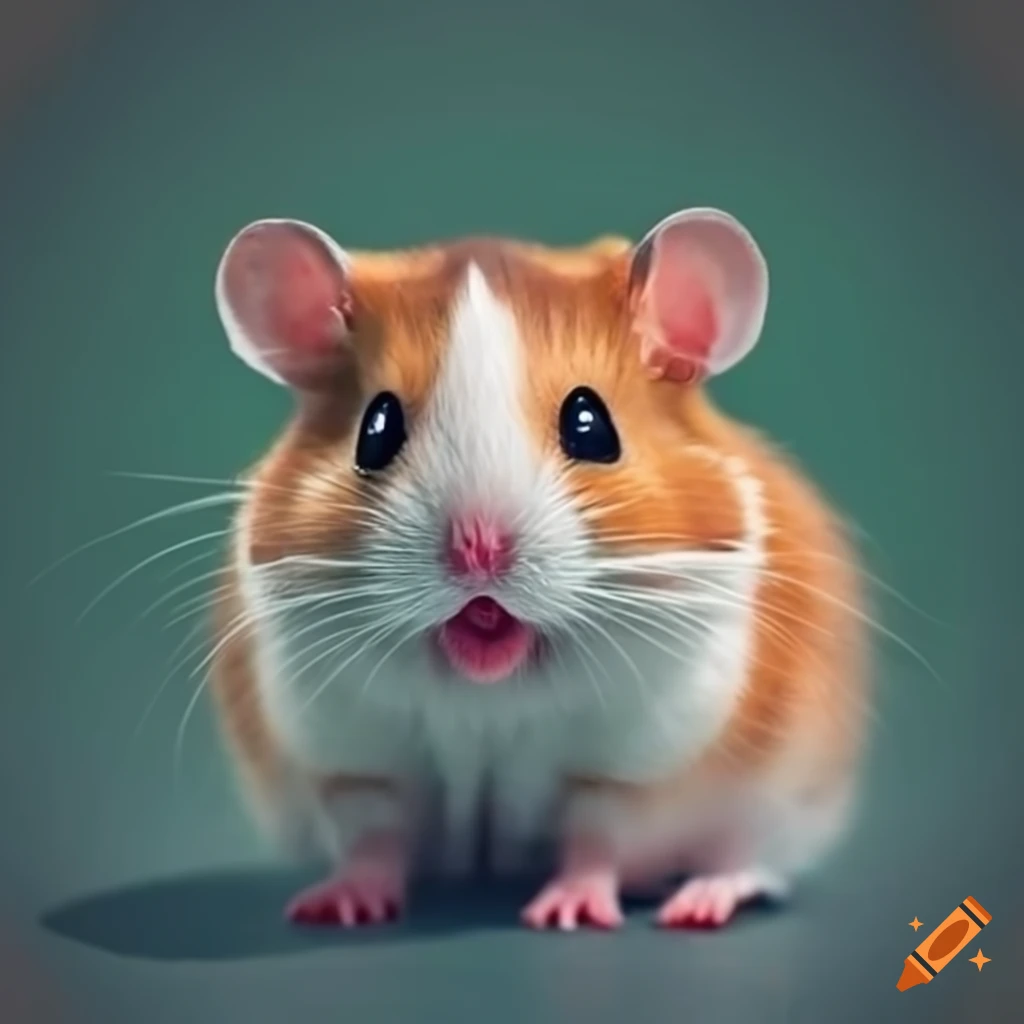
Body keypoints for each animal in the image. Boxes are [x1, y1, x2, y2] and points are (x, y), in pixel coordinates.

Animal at [209, 208, 868, 930]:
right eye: (376, 430)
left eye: (591, 425)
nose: (479, 549)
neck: (489, 693)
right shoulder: (356, 762)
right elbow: (371, 839)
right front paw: (339, 908)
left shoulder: (625, 766)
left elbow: (597, 837)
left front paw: (567, 915)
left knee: (748, 862)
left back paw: (696, 906)